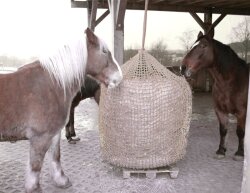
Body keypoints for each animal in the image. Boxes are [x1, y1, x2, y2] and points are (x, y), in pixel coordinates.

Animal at [0, 27, 122, 193]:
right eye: (104, 51)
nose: (119, 77)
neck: (51, 84)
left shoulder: (54, 134)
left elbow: (56, 157)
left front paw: (61, 181)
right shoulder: (40, 138)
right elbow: (35, 167)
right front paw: (34, 188)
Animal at [181, 31, 249, 161]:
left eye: (203, 46)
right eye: (193, 45)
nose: (183, 68)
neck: (231, 82)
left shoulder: (242, 112)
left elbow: (240, 132)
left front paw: (239, 153)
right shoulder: (220, 111)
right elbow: (223, 130)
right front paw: (221, 151)